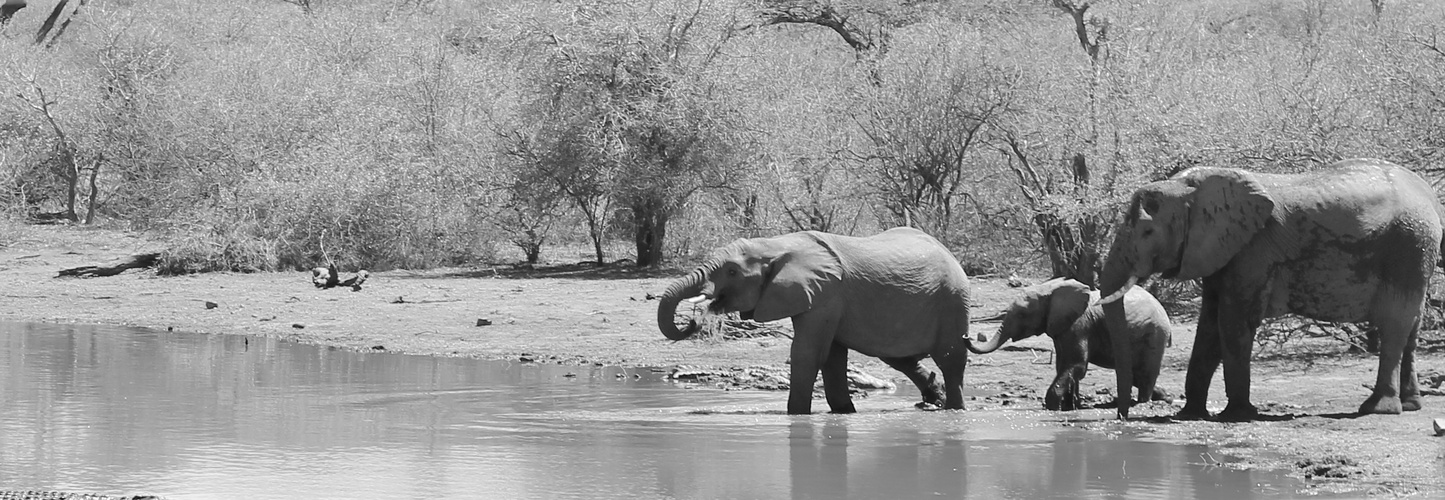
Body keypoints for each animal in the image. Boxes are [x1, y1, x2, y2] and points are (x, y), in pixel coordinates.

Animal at [656, 226, 971, 413]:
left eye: (732, 271)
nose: (692, 322)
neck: (776, 244)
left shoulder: (825, 295)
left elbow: (807, 354)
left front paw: (797, 415)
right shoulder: (815, 297)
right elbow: (831, 357)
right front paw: (843, 413)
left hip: (953, 299)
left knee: (950, 358)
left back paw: (954, 409)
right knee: (900, 358)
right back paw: (936, 399)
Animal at [959, 277, 1173, 410]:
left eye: (1022, 314)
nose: (965, 336)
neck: (1049, 289)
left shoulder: (1079, 325)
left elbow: (1075, 365)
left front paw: (1052, 408)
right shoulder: (1062, 328)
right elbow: (1063, 366)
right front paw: (1070, 407)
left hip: (1154, 334)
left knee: (1145, 374)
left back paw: (1143, 402)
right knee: (1135, 375)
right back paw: (1164, 396)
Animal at [1098, 158, 1439, 419]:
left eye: (1148, 231)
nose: (1122, 416)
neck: (1193, 189)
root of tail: (1428, 192)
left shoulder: (1253, 250)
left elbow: (1233, 320)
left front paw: (1237, 415)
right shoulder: (1222, 249)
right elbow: (1209, 324)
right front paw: (1191, 414)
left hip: (1409, 245)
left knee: (1393, 324)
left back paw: (1377, 408)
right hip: (1417, 253)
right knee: (1412, 324)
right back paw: (1411, 404)